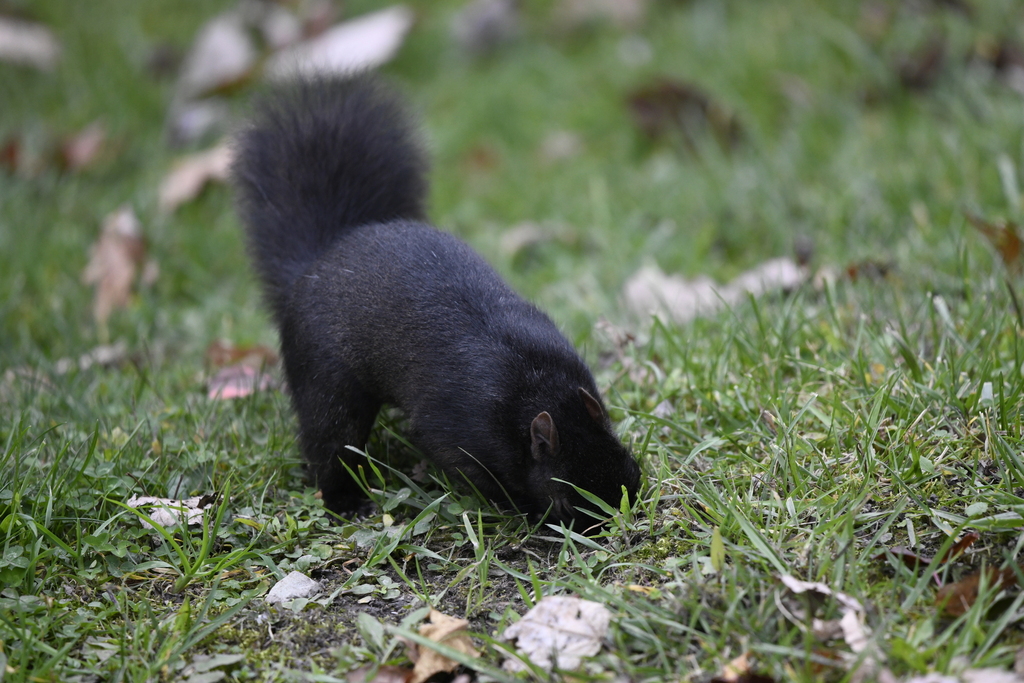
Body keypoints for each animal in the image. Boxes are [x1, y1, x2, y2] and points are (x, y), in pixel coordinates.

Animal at [232, 75, 640, 527]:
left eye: (632, 465)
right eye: (565, 500)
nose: (610, 523)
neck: (536, 382)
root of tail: (313, 266)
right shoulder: (457, 428)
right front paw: (518, 504)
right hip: (325, 379)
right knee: (329, 441)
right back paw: (346, 500)